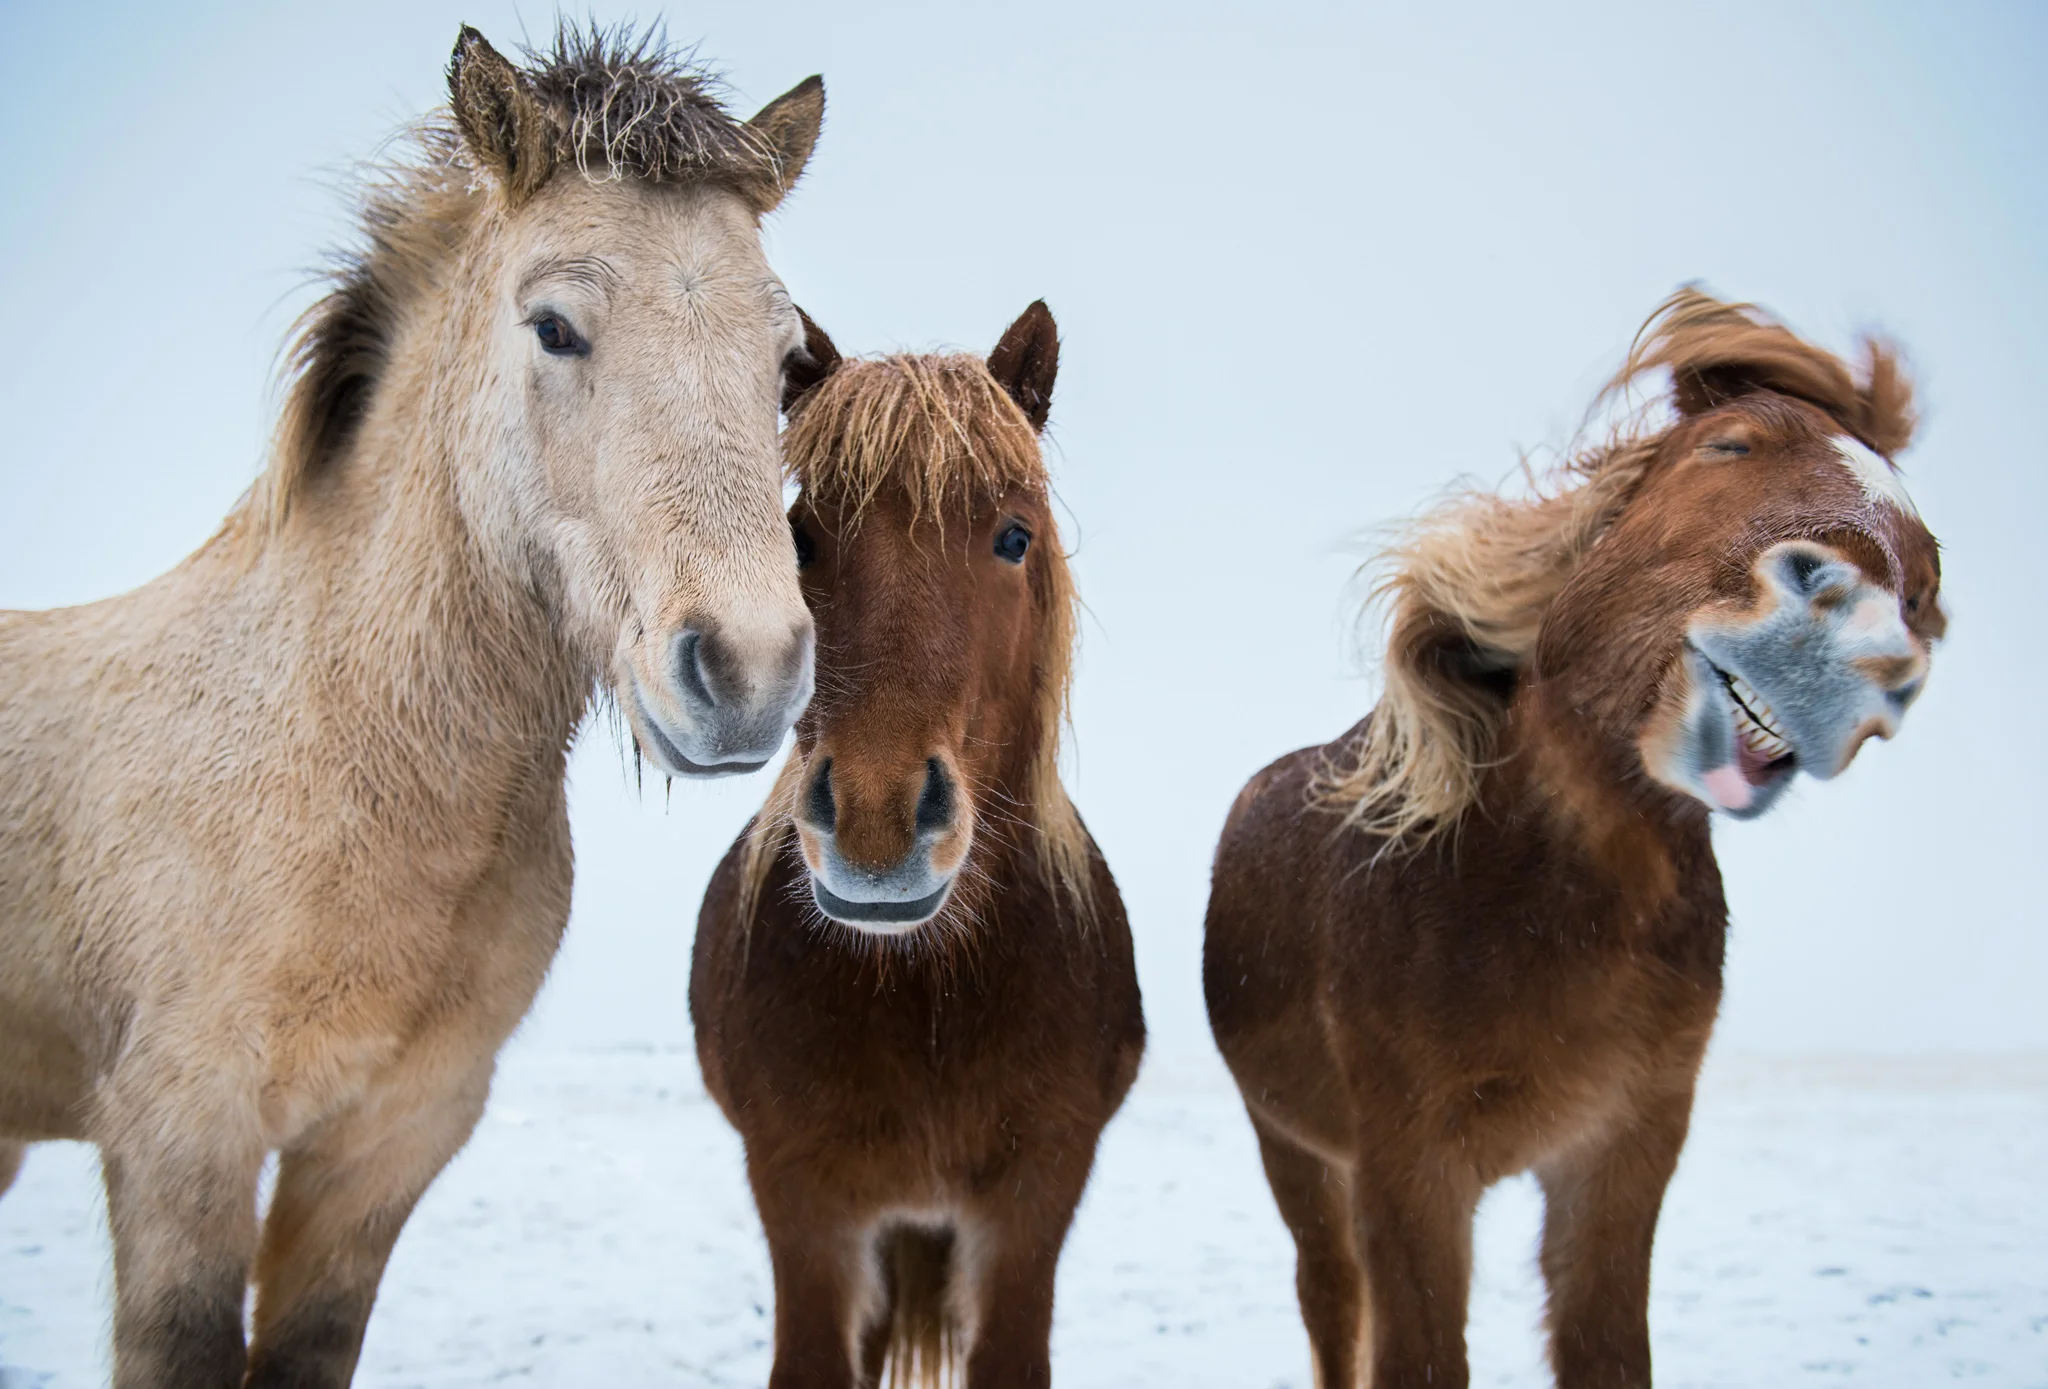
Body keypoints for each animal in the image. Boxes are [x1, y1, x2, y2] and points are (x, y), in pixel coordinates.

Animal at [0, 27, 825, 1388]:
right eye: (555, 327)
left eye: (785, 361)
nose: (750, 670)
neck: (324, 758)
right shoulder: (178, 1143)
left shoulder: (385, 1149)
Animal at [691, 302, 1146, 1389]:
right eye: (800, 535)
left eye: (1013, 536)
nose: (875, 817)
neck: (927, 994)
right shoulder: (806, 1211)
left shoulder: (1029, 1211)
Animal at [1203, 289, 1945, 1389]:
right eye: (1728, 442)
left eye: (1924, 583)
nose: (1849, 631)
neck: (1534, 902)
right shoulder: (1408, 1172)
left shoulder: (1621, 1158)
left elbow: (1604, 1346)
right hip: (1296, 1151)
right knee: (1332, 1304)